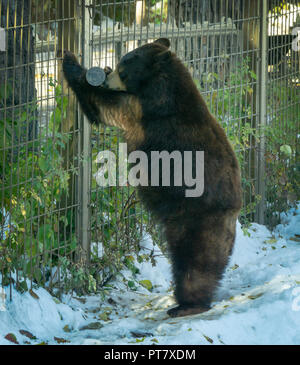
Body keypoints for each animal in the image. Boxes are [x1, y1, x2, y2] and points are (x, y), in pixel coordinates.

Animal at [62, 37, 241, 316]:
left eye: (124, 66)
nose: (107, 77)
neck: (159, 84)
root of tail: (234, 210)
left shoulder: (145, 109)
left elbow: (104, 106)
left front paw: (71, 60)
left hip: (197, 220)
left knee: (194, 264)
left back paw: (187, 304)